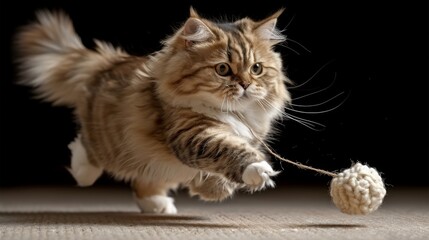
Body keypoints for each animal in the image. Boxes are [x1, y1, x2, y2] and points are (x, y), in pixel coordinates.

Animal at [15, 7, 290, 214]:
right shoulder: (190, 133)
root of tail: (110, 62)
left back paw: (156, 204)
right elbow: (227, 149)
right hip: (109, 142)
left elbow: (215, 169)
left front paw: (213, 188)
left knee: (145, 179)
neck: (236, 115)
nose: (245, 84)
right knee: (87, 148)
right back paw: (83, 170)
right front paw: (257, 170)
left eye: (256, 69)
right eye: (222, 69)